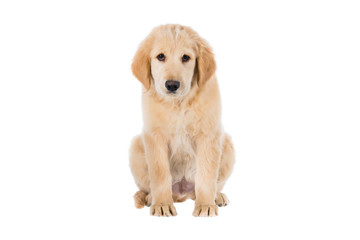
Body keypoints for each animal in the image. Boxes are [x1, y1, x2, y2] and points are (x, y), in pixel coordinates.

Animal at [129, 24, 233, 218]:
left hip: (227, 143)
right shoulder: (155, 135)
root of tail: (183, 192)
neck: (178, 104)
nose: (172, 85)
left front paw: (206, 205)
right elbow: (160, 173)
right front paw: (162, 204)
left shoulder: (209, 134)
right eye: (160, 56)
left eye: (186, 57)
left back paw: (217, 196)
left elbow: (207, 174)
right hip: (137, 144)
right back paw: (151, 198)